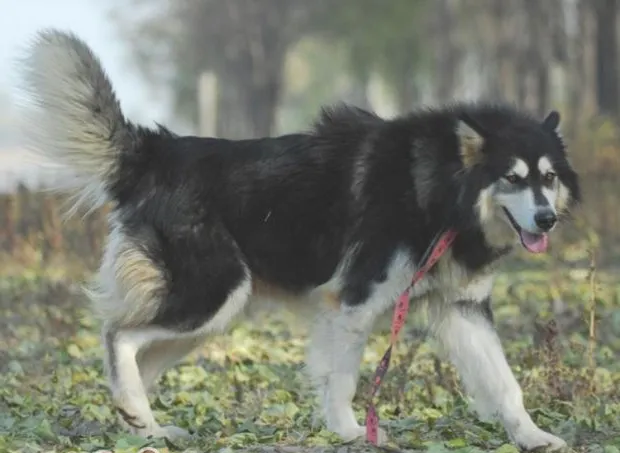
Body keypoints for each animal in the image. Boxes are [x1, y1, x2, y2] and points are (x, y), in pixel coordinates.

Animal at [20, 30, 580, 450]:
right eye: (511, 178)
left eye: (548, 178)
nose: (547, 219)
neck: (437, 189)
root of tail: (160, 151)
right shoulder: (354, 302)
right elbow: (343, 377)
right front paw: (351, 431)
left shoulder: (462, 308)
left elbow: (505, 383)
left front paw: (534, 436)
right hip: (213, 294)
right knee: (119, 336)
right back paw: (139, 414)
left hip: (211, 315)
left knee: (139, 358)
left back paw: (145, 427)